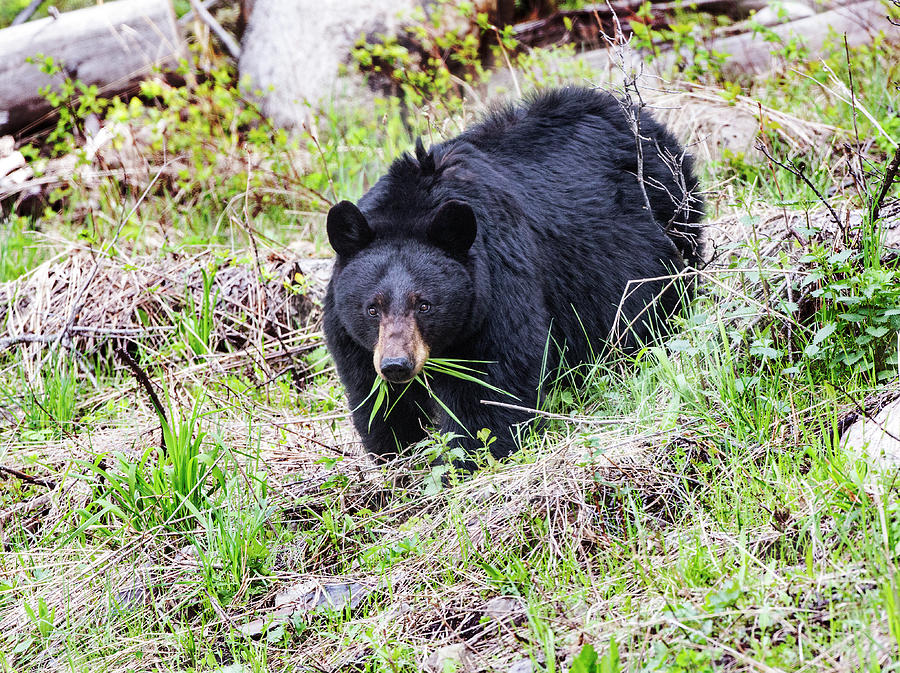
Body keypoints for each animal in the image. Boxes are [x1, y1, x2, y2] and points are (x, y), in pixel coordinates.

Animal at [324, 86, 704, 462]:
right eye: (372, 308)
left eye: (425, 305)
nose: (396, 364)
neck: (413, 207)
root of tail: (643, 119)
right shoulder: (354, 340)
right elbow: (378, 398)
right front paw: (397, 452)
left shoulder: (498, 284)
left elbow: (493, 382)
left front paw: (474, 456)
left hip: (665, 226)